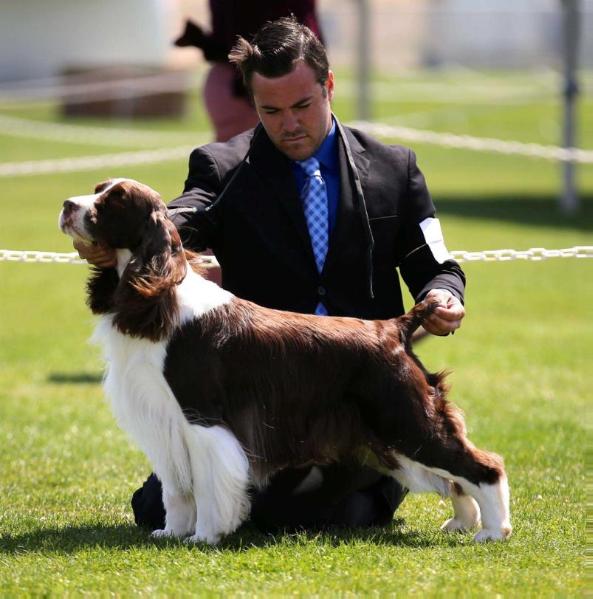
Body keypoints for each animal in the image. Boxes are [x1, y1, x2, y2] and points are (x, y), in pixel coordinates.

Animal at [61, 177, 512, 544]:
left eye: (115, 199)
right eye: (98, 188)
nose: (67, 205)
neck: (162, 297)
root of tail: (394, 328)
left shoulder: (202, 417)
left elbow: (208, 483)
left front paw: (204, 536)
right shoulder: (164, 417)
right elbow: (176, 488)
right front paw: (171, 532)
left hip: (402, 415)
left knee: (483, 465)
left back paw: (493, 531)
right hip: (391, 430)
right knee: (452, 477)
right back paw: (461, 522)